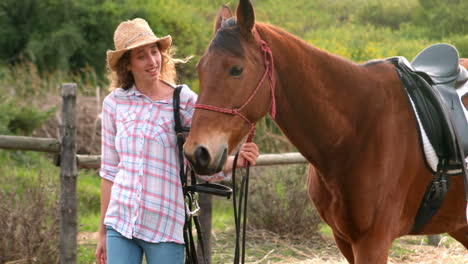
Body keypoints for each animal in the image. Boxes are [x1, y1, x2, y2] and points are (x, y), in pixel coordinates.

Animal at [183, 1, 468, 262]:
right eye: (200, 69)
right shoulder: (345, 240)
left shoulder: (373, 242)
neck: (357, 129)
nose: (197, 152)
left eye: (236, 69)